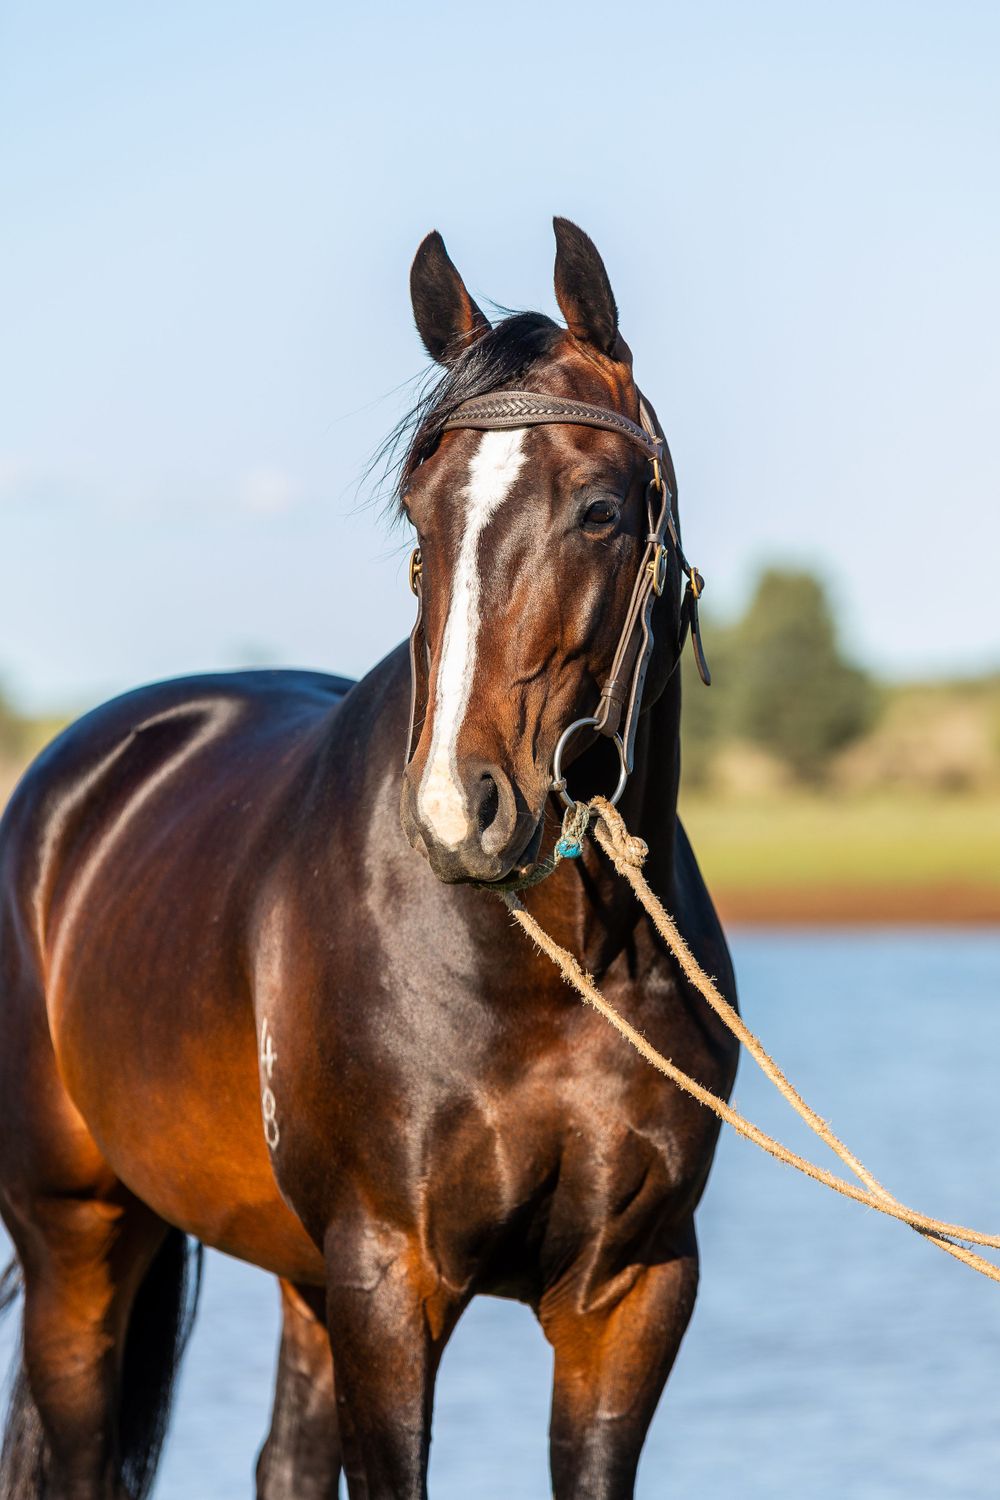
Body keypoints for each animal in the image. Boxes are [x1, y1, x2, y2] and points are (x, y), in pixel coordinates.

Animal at [0, 217, 738, 1500]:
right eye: (419, 512)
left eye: (601, 509)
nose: (460, 812)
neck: (553, 970)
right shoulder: (391, 1275)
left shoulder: (632, 1291)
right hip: (77, 1238)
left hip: (296, 1265)